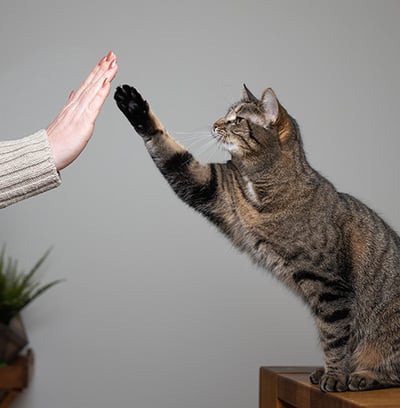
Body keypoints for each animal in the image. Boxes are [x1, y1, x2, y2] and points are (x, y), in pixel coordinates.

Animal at [113, 83, 400, 392]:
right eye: (226, 115)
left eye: (237, 119)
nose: (215, 124)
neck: (261, 182)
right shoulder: (212, 187)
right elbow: (170, 153)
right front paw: (135, 108)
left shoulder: (330, 285)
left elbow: (334, 338)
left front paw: (335, 375)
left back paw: (364, 375)